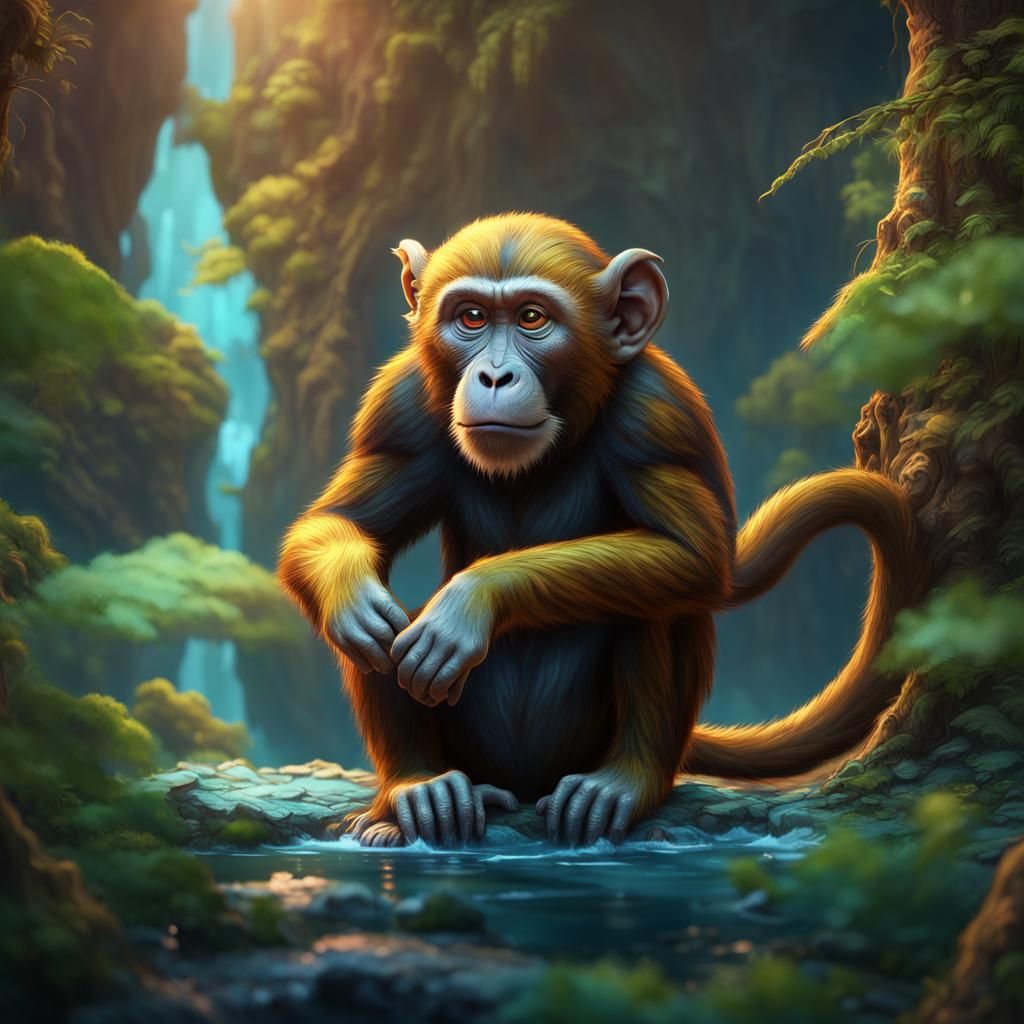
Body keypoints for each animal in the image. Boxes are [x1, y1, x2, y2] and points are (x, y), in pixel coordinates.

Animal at [277, 212, 921, 848]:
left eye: (532, 318)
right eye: (472, 318)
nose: (494, 376)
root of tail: (523, 787)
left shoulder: (657, 413)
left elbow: (691, 555)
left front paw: (469, 601)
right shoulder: (400, 406)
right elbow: (341, 526)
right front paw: (352, 596)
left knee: (648, 601)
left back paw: (622, 783)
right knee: (383, 633)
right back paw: (417, 787)